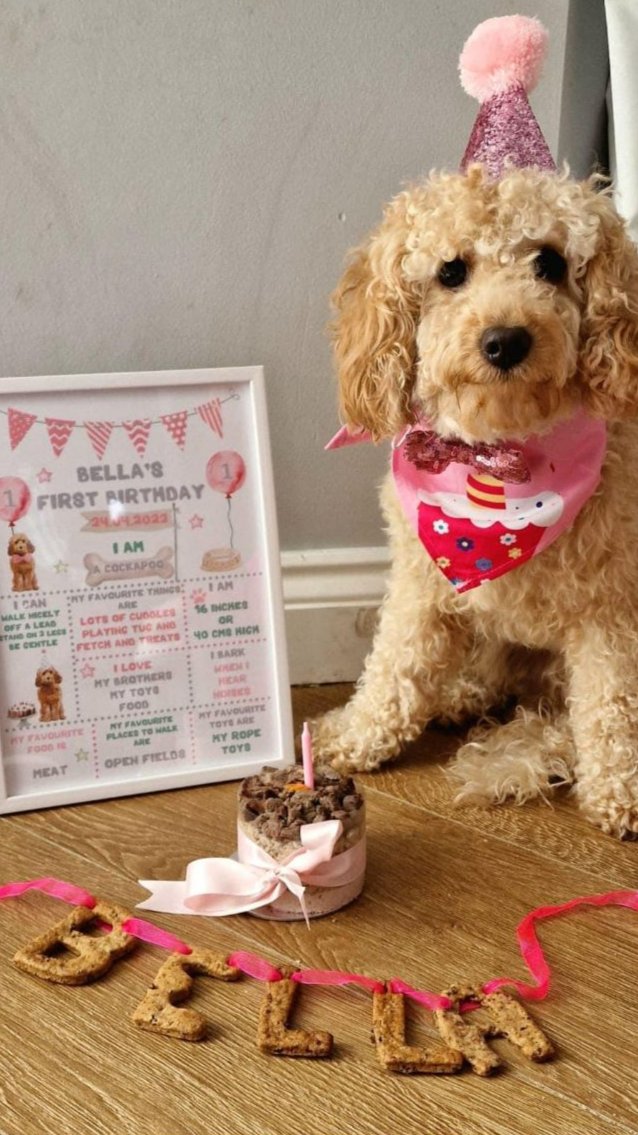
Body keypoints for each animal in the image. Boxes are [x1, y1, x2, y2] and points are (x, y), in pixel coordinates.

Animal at [308, 165, 638, 844]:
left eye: (550, 263)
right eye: (450, 271)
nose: (505, 341)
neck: (497, 456)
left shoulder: (612, 610)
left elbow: (611, 706)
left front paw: (621, 789)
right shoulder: (418, 582)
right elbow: (395, 669)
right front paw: (357, 735)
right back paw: (461, 692)